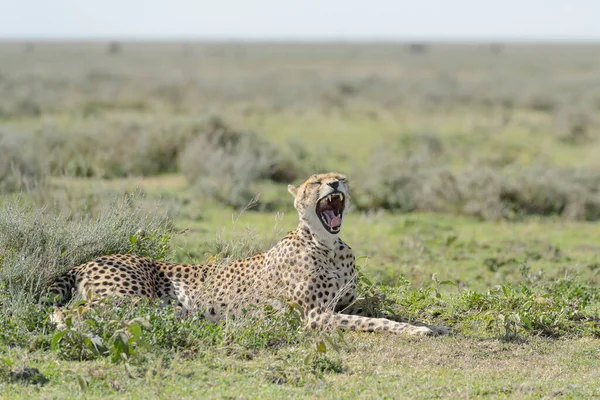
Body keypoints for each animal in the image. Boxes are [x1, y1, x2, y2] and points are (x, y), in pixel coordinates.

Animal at [48, 173, 446, 336]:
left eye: (341, 178)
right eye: (316, 182)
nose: (335, 184)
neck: (329, 245)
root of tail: (87, 260)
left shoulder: (345, 302)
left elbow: (383, 310)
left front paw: (434, 324)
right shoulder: (316, 315)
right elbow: (379, 321)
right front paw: (416, 331)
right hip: (132, 300)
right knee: (68, 311)